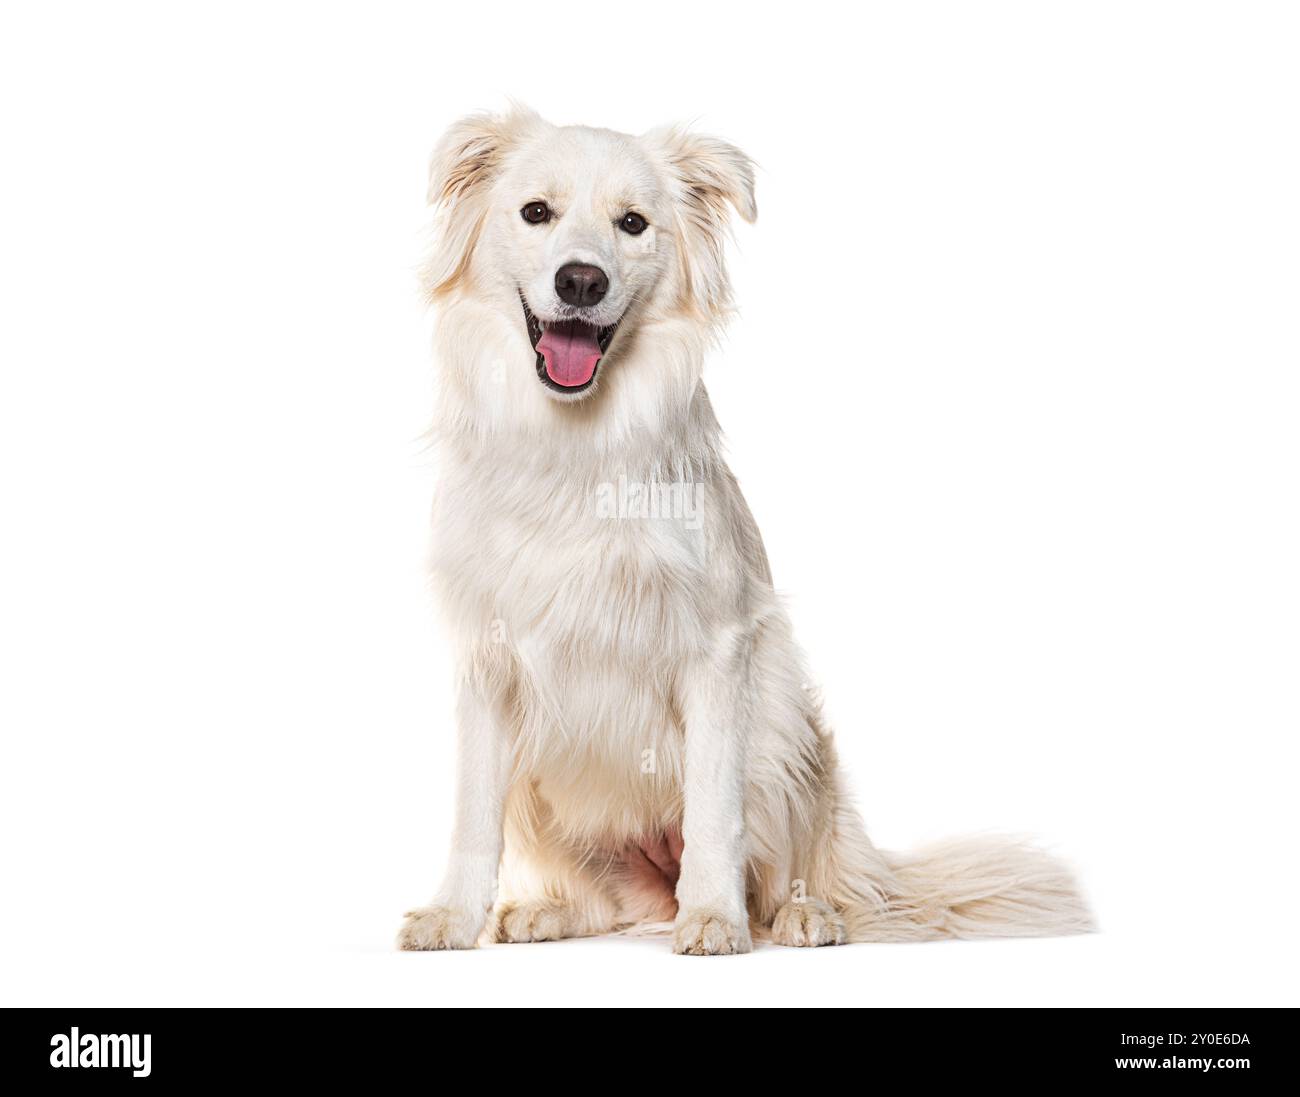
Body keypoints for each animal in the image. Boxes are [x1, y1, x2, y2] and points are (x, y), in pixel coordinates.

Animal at [397, 107, 1097, 956]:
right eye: (536, 212)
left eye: (634, 224)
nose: (581, 281)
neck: (578, 442)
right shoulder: (489, 659)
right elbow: (472, 813)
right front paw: (453, 915)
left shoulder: (719, 647)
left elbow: (712, 808)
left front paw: (712, 915)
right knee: (608, 902)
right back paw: (546, 910)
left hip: (784, 722)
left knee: (786, 869)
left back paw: (803, 915)